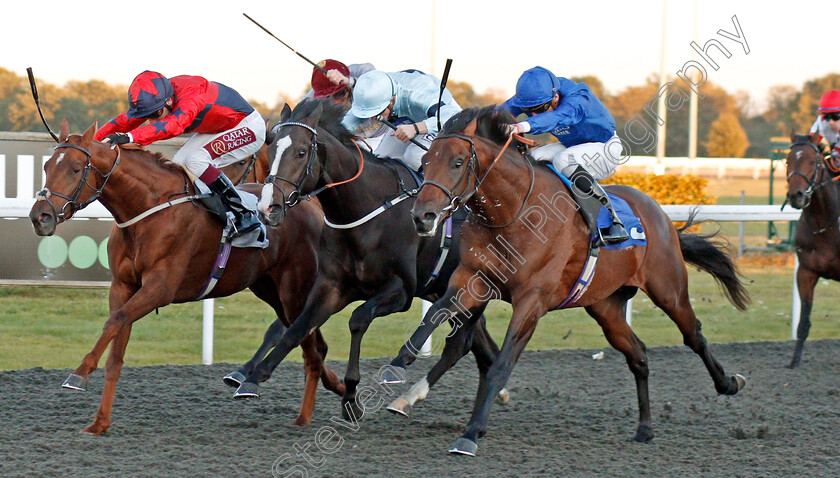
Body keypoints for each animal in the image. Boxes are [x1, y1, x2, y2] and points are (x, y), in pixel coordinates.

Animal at [28, 119, 344, 434]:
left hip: (293, 291)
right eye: (46, 167)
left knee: (310, 350)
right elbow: (116, 351)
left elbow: (113, 322)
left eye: (75, 168)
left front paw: (79, 373)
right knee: (312, 343)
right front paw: (99, 423)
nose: (40, 216)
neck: (147, 209)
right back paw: (336, 390)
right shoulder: (123, 287)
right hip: (271, 291)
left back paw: (303, 415)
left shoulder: (160, 287)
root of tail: (309, 206)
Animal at [231, 99, 506, 420]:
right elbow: (296, 328)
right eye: (272, 149)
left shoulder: (400, 291)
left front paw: (351, 395)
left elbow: (358, 318)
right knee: (478, 343)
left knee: (460, 344)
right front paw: (253, 378)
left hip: (476, 285)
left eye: (300, 152)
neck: (365, 212)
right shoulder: (332, 287)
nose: (267, 207)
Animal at [400, 106, 748, 458]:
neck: (513, 212)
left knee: (693, 335)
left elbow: (500, 364)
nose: (422, 216)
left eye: (458, 162)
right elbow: (433, 318)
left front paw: (470, 434)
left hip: (668, 289)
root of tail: (661, 216)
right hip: (606, 306)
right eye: (425, 161)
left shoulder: (532, 300)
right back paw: (645, 428)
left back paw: (729, 383)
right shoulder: (473, 279)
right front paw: (398, 370)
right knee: (637, 354)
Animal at [780, 133, 840, 368]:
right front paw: (794, 361)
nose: (796, 195)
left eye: (813, 162)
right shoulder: (806, 272)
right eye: (788, 161)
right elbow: (803, 322)